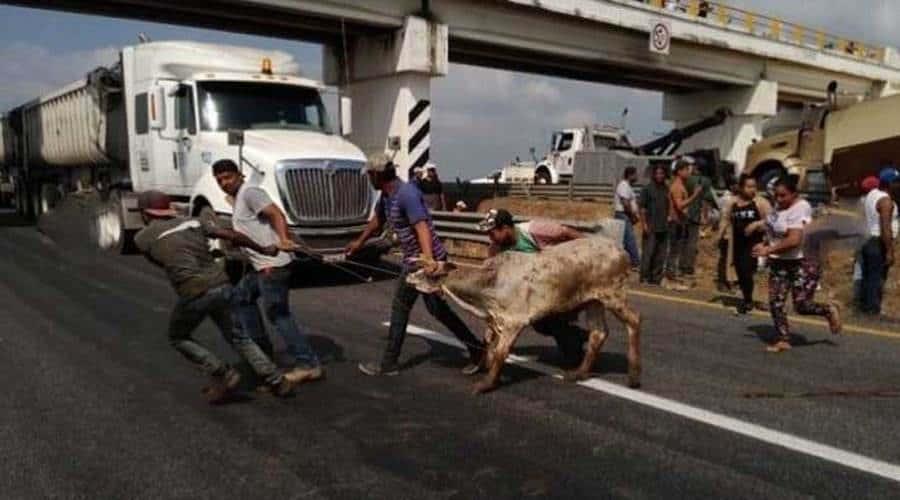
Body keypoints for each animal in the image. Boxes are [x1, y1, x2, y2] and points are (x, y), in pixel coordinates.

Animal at [408, 234, 640, 394]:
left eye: (426, 273)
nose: (409, 277)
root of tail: (623, 252)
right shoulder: (495, 321)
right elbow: (489, 345)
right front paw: (481, 367)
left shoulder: (514, 321)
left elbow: (500, 352)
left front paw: (486, 384)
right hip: (594, 301)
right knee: (598, 333)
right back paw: (578, 373)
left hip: (614, 295)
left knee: (634, 320)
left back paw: (634, 377)